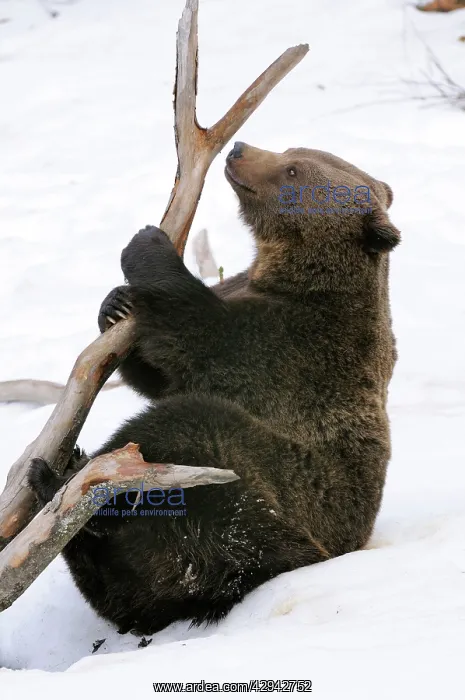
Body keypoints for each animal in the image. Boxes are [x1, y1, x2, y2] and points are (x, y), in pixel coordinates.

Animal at [28, 142, 400, 636]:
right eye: (293, 151)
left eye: (292, 169)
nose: (240, 149)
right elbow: (161, 372)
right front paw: (115, 304)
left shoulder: (288, 345)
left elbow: (195, 333)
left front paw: (147, 242)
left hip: (282, 494)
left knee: (192, 433)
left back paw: (67, 485)